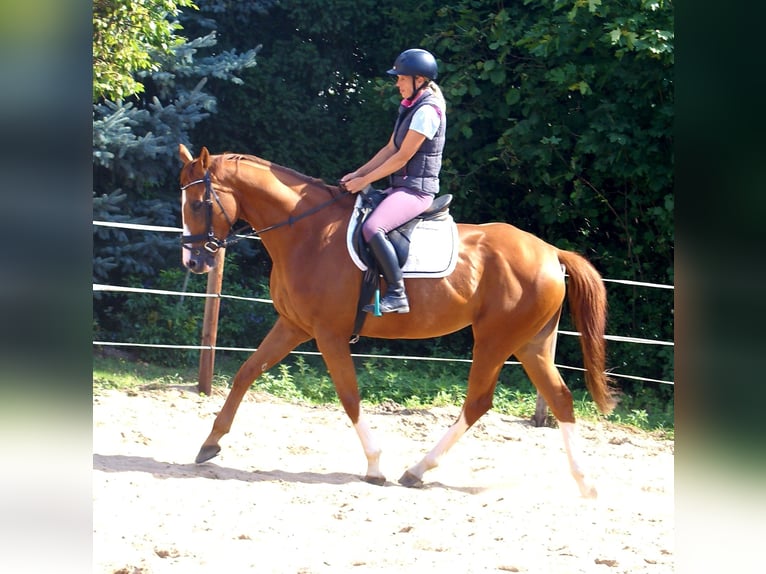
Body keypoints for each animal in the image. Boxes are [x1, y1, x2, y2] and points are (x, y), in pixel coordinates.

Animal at [178, 144, 617, 497]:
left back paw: (417, 469)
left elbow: (349, 396)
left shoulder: (328, 334)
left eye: (198, 204)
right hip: (530, 343)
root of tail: (551, 252)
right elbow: (246, 372)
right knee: (559, 398)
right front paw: (210, 444)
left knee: (479, 402)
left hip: (496, 340)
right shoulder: (293, 325)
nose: (193, 261)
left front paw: (374, 465)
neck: (306, 232)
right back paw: (585, 483)